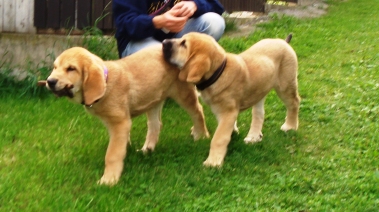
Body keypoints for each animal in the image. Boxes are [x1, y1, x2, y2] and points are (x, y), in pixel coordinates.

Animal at [45, 45, 211, 185]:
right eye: (55, 67)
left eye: (71, 68)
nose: (50, 81)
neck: (106, 82)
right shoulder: (113, 123)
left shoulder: (120, 123)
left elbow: (112, 153)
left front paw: (109, 180)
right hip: (154, 98)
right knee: (155, 125)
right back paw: (147, 149)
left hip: (183, 93)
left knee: (198, 112)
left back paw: (201, 135)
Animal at [163, 32, 300, 166]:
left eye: (184, 44)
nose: (164, 42)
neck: (218, 73)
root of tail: (284, 42)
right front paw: (233, 131)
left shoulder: (228, 112)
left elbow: (219, 137)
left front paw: (213, 161)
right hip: (261, 87)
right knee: (259, 112)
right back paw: (254, 136)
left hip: (285, 85)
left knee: (294, 103)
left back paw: (290, 126)